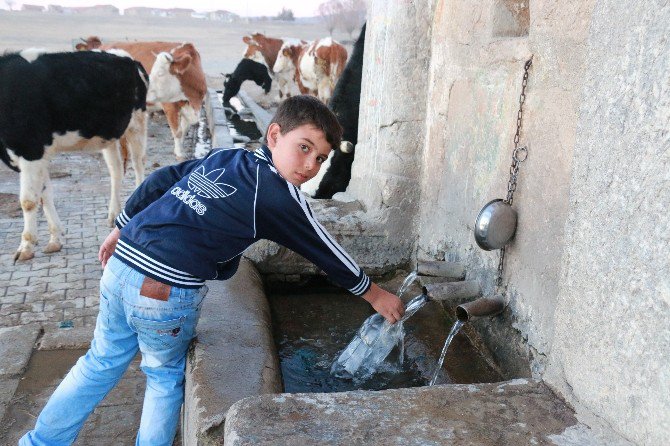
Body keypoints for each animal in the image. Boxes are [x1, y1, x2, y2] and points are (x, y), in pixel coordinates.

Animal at [0, 49, 148, 262]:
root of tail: (126, 57)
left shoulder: (31, 150)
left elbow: (28, 200)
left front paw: (26, 247)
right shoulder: (38, 154)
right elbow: (44, 194)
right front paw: (55, 239)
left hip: (137, 124)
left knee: (138, 165)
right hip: (109, 136)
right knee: (116, 171)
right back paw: (113, 214)